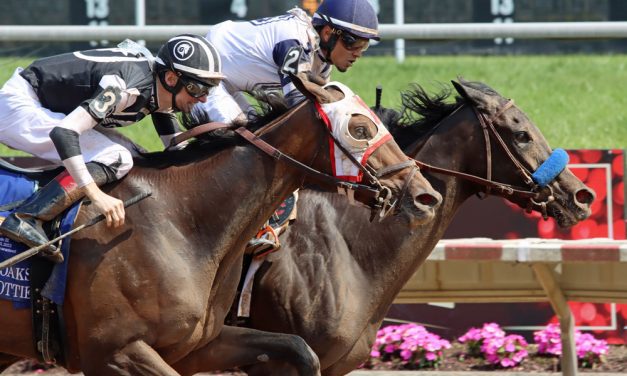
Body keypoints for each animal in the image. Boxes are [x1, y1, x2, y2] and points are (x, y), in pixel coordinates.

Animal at [0, 78, 444, 374]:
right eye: (359, 128)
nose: (425, 195)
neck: (183, 221)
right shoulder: (114, 351)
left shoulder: (200, 343)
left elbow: (301, 351)